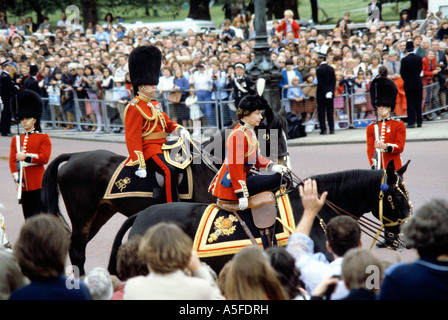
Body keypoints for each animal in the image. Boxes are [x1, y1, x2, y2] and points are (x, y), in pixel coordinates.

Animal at [40, 109, 288, 274]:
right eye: (270, 135)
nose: (284, 165)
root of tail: (74, 155)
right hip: (83, 215)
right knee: (76, 251)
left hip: (98, 214)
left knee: (76, 248)